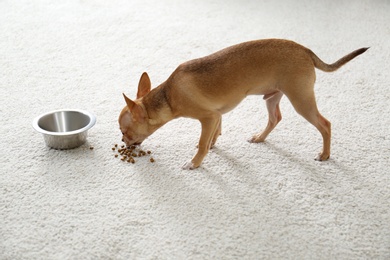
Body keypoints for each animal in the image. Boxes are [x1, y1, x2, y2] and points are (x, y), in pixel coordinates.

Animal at [119, 38, 368, 169]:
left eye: (124, 131)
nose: (123, 141)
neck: (169, 96)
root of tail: (306, 51)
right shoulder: (217, 115)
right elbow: (215, 133)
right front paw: (213, 145)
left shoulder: (208, 117)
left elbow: (202, 142)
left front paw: (195, 163)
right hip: (273, 97)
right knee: (275, 118)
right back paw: (259, 137)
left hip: (301, 101)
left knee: (325, 124)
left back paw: (324, 155)